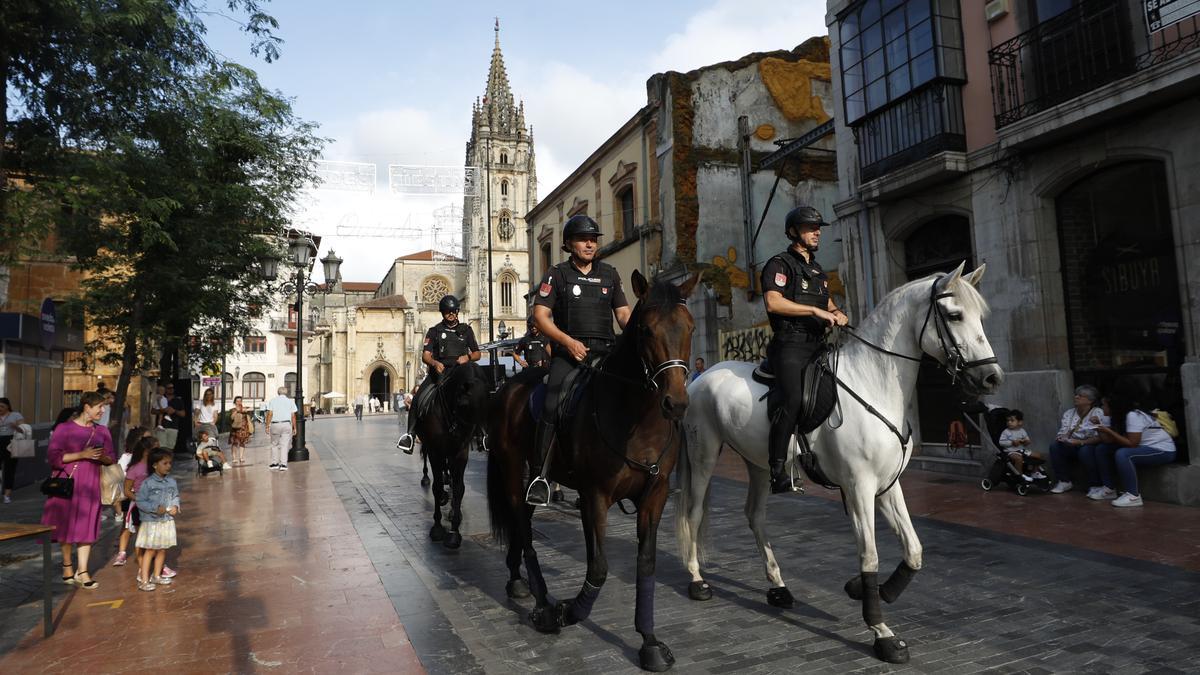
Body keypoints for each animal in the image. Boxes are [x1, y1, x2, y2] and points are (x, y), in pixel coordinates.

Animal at [412, 362, 487, 547]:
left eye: (487, 405)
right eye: (464, 405)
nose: (471, 434)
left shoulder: (460, 453)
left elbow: (459, 487)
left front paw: (454, 529)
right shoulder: (435, 451)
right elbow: (437, 487)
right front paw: (437, 528)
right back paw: (427, 479)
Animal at [482, 270, 700, 667]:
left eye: (690, 327)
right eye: (646, 330)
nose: (675, 403)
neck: (635, 417)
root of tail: (507, 387)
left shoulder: (654, 496)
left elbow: (646, 564)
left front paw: (648, 641)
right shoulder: (594, 496)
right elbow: (598, 567)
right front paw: (565, 612)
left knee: (522, 525)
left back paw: (516, 580)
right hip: (511, 470)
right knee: (523, 529)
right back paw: (542, 602)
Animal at [676, 263, 1003, 662]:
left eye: (980, 317)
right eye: (955, 315)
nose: (992, 377)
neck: (873, 382)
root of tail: (700, 377)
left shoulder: (888, 486)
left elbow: (913, 550)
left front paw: (865, 590)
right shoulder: (859, 488)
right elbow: (870, 557)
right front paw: (882, 632)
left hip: (759, 463)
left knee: (754, 515)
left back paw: (778, 586)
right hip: (704, 454)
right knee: (693, 512)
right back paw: (696, 580)